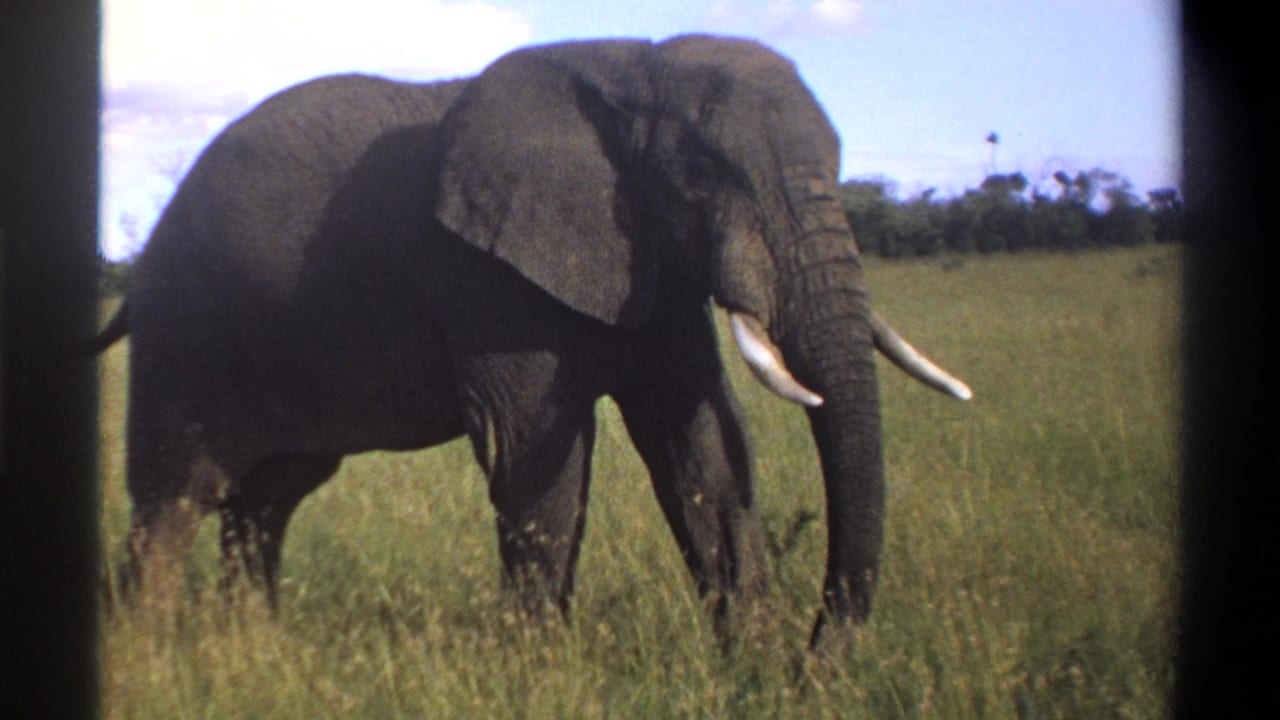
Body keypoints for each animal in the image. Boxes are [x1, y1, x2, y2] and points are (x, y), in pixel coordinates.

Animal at [95, 35, 971, 647]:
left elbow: (702, 444)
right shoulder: (485, 274)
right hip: (187, 329)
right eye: (699, 174)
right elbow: (532, 456)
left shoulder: (648, 262)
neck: (635, 66)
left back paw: (250, 648)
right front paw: (539, 670)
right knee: (175, 498)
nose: (816, 663)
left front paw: (750, 666)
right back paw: (155, 659)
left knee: (266, 502)